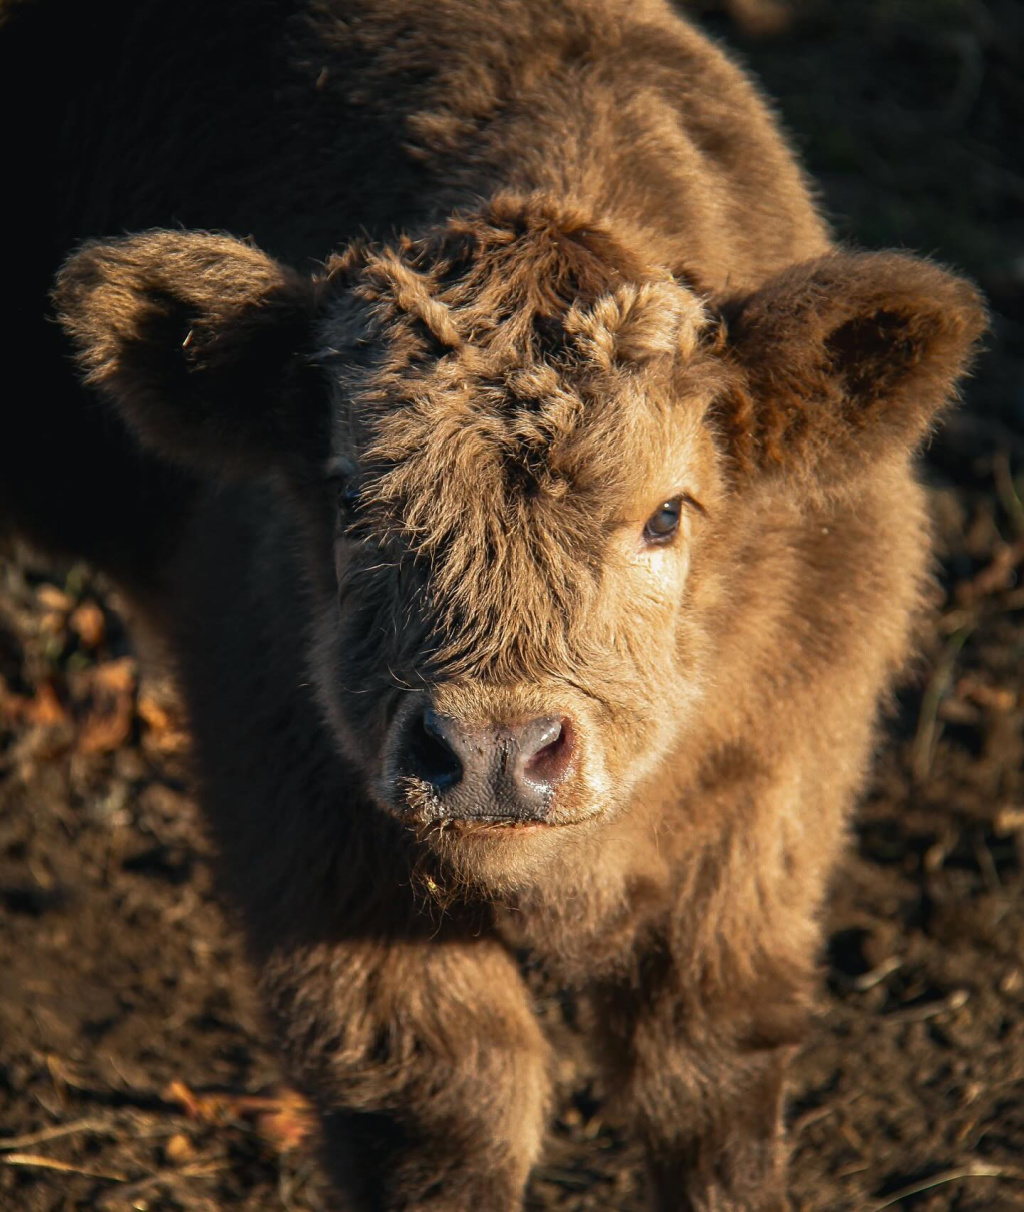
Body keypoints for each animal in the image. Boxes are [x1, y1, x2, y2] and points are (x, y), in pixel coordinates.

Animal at [1, 0, 985, 1206]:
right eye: (348, 497)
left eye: (667, 514)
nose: (494, 752)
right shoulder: (313, 846)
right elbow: (448, 1110)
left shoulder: (761, 833)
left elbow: (709, 1088)